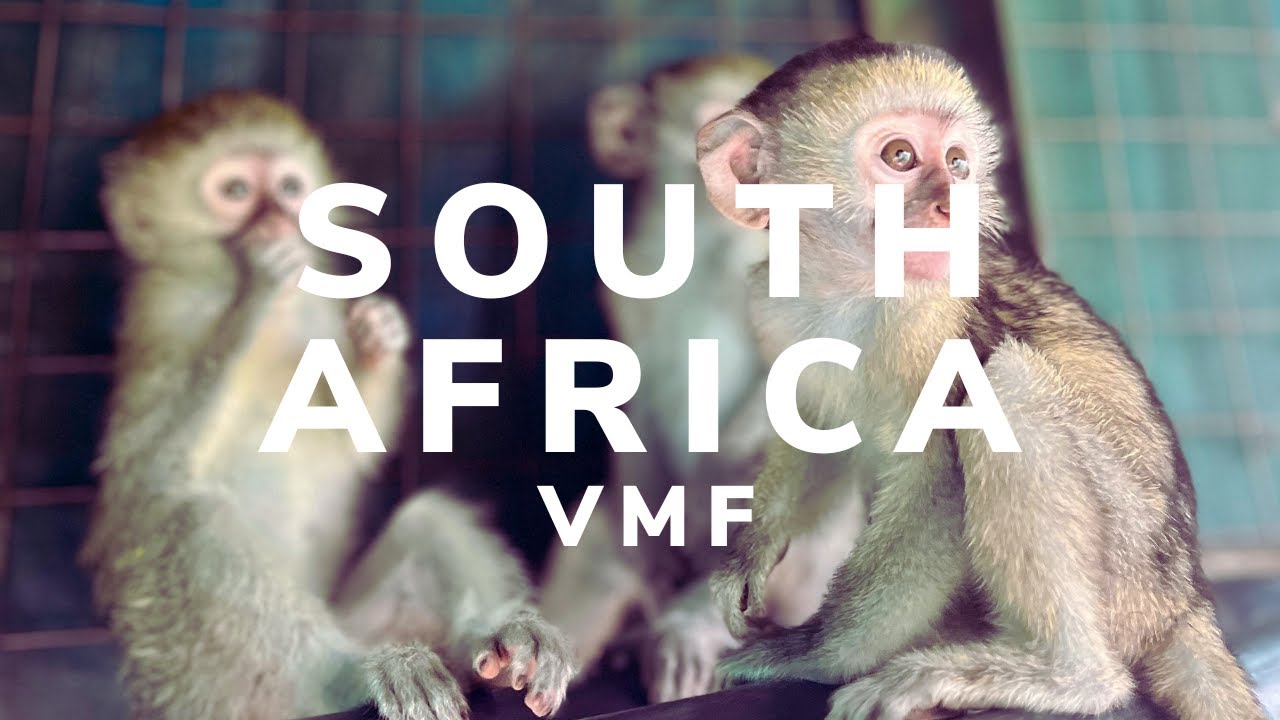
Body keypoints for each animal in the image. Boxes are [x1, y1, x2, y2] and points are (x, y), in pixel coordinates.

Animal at [79, 90, 575, 720]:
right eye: (236, 191)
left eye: (289, 188)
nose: (280, 220)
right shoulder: (167, 324)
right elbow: (150, 482)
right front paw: (253, 296)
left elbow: (355, 443)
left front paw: (378, 339)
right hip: (211, 690)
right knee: (192, 520)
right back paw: (351, 677)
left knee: (429, 519)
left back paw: (496, 642)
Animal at [693, 37, 1266, 720]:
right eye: (901, 156)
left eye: (958, 165)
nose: (950, 206)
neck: (850, 293)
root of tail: (1184, 597)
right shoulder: (773, 304)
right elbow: (815, 429)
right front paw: (749, 552)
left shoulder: (926, 321)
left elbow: (935, 487)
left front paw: (817, 654)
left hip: (1131, 568)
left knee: (1006, 384)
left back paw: (1069, 677)